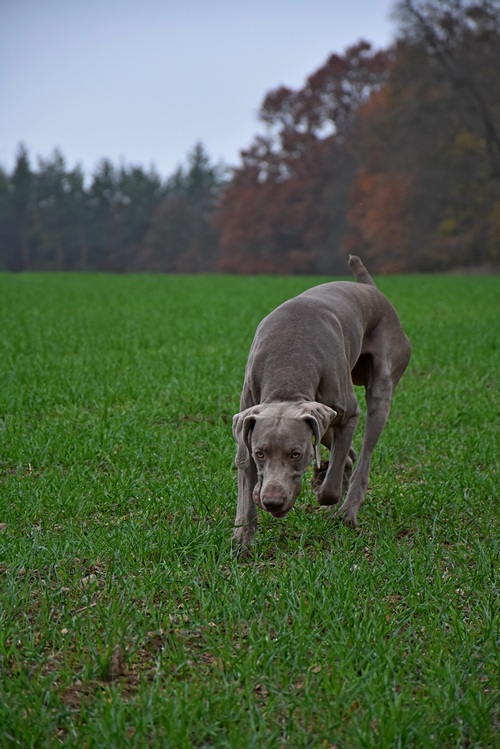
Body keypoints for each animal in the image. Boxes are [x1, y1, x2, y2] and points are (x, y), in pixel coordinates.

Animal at [230, 254, 410, 548]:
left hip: (381, 384)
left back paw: (347, 511)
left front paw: (323, 488)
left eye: (296, 454)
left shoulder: (348, 415)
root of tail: (370, 288)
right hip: (321, 420)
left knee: (362, 457)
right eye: (260, 453)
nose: (272, 501)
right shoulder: (248, 420)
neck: (287, 370)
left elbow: (331, 486)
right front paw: (242, 541)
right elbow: (245, 486)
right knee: (346, 453)